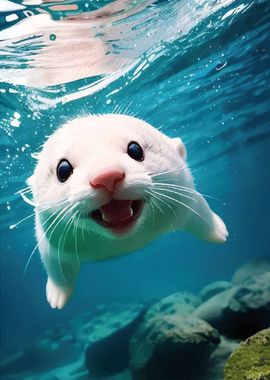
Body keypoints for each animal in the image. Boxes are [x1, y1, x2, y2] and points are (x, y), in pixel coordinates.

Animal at [28, 115, 228, 308]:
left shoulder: (182, 199)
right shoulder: (55, 241)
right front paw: (57, 296)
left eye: (135, 150)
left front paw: (218, 232)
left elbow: (199, 213)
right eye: (63, 169)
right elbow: (56, 267)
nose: (107, 176)